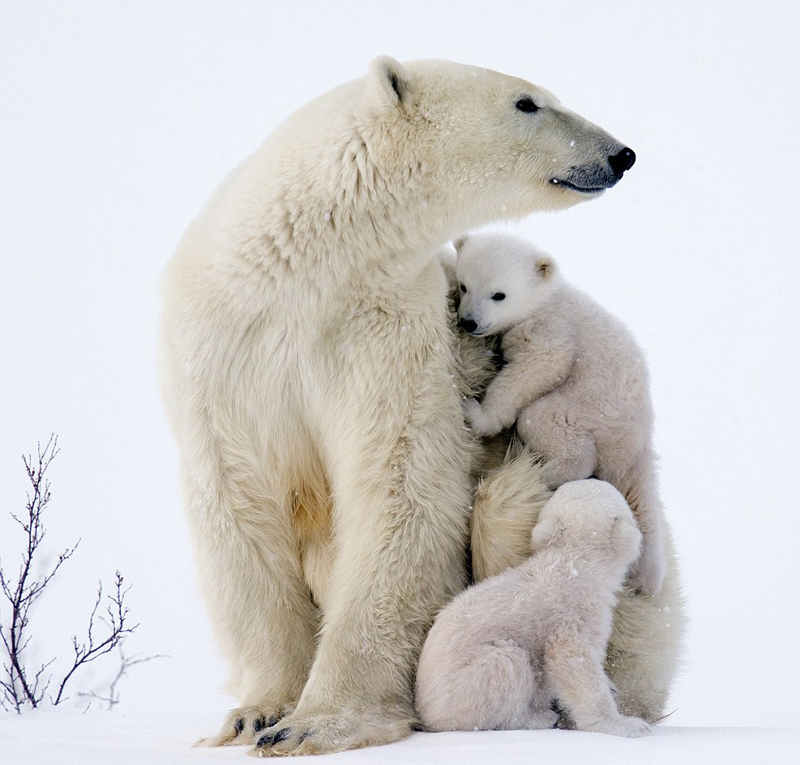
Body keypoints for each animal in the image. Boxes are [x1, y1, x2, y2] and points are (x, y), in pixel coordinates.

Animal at [158, 56, 668, 756]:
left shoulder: (385, 328)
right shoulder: (227, 344)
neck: (307, 263)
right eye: (527, 102)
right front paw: (257, 714)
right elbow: (239, 497)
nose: (620, 154)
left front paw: (318, 721)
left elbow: (403, 482)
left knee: (517, 505)